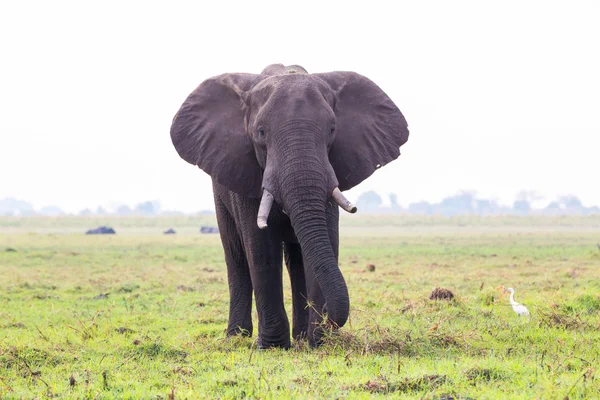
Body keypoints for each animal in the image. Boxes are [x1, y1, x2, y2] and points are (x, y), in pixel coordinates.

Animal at [171, 64, 410, 348]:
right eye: (261, 132)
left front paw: (318, 343)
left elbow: (327, 239)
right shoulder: (246, 170)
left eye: (332, 130)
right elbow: (260, 247)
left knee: (297, 257)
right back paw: (237, 337)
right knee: (236, 255)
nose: (328, 320)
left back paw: (300, 337)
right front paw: (272, 346)